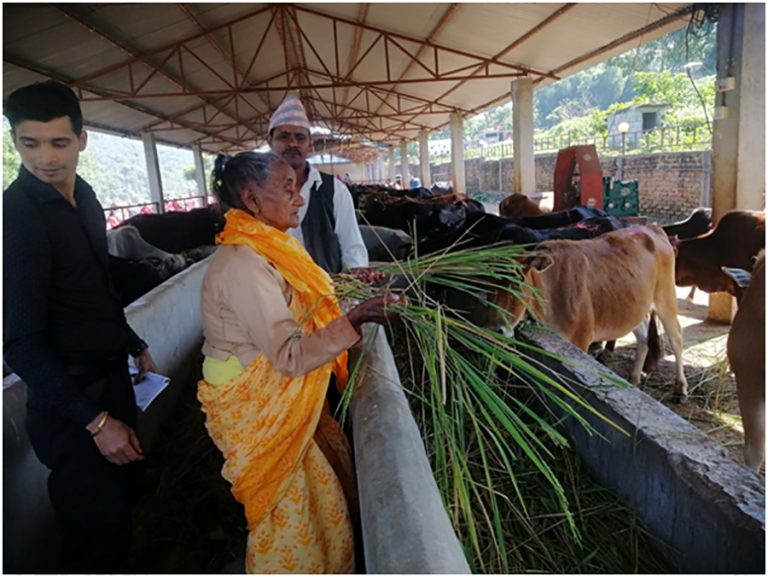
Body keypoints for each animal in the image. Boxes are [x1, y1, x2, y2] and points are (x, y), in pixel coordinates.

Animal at [498, 226, 688, 400]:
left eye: (518, 280)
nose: (497, 328)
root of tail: (653, 228)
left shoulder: (580, 339)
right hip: (635, 305)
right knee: (643, 337)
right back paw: (634, 379)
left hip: (665, 297)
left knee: (677, 337)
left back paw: (680, 387)